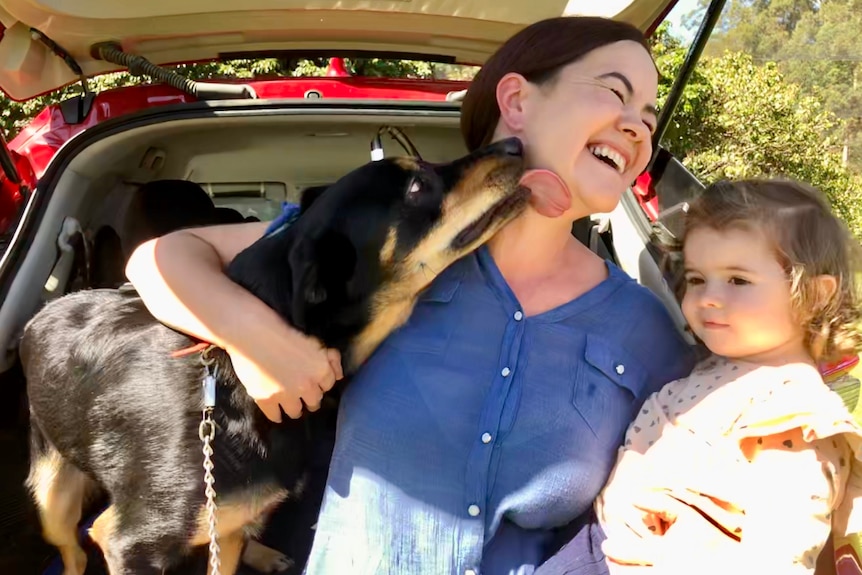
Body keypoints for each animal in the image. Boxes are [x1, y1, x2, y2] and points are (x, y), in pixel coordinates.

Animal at [20, 137, 528, 572]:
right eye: (417, 187)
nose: (515, 145)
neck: (235, 385)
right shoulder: (129, 541)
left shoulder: (219, 524)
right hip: (53, 495)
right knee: (71, 550)